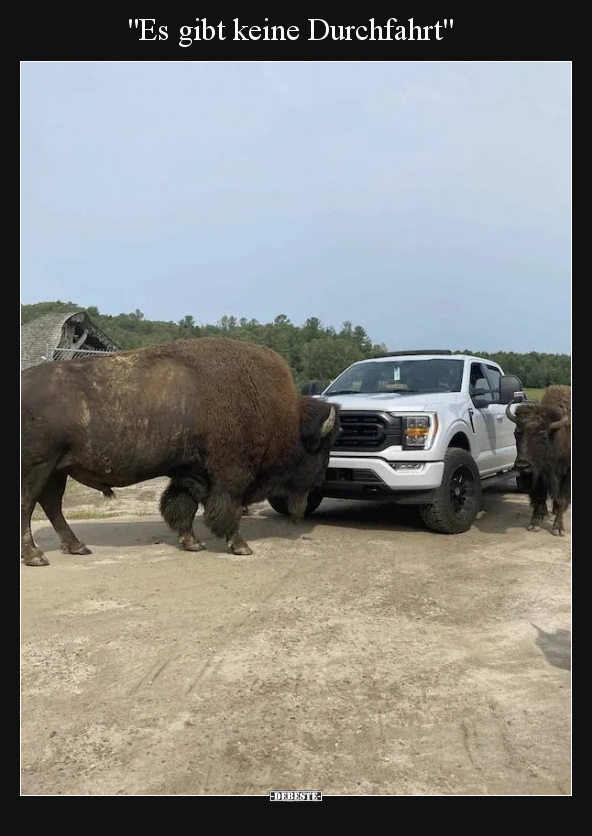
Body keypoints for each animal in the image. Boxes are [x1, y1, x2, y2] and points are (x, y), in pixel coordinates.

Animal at [20, 336, 340, 564]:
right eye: (322, 448)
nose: (320, 480)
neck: (282, 415)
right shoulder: (231, 475)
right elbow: (227, 509)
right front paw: (240, 546)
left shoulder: (190, 472)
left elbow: (180, 505)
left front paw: (192, 543)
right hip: (39, 467)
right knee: (29, 504)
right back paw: (37, 556)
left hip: (57, 470)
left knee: (51, 505)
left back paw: (76, 546)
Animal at [506, 386, 572, 536]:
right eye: (517, 432)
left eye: (542, 434)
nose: (522, 465)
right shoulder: (537, 476)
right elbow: (538, 497)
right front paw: (534, 524)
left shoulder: (567, 476)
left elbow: (561, 500)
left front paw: (558, 528)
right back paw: (545, 514)